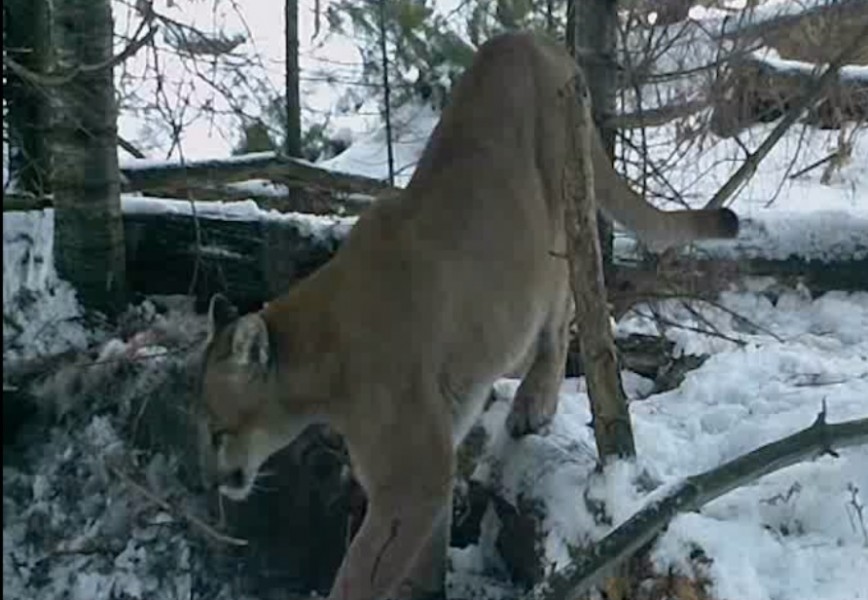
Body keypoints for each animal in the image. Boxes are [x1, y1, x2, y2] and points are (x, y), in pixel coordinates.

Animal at [198, 31, 740, 600]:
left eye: (217, 430)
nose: (210, 481)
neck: (322, 352)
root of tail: (533, 39)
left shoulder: (416, 475)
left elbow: (362, 572)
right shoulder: (426, 462)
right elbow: (421, 556)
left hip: (557, 215)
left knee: (563, 309)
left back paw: (533, 403)